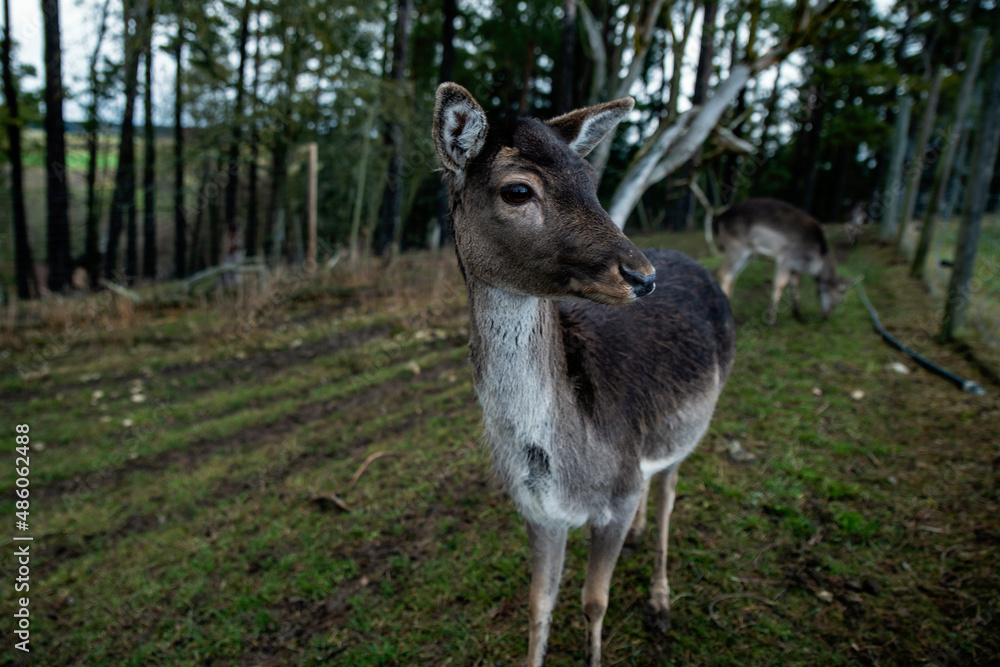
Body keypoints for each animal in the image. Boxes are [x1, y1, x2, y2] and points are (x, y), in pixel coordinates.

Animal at [433, 82, 736, 666]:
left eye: (591, 180)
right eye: (517, 190)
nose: (642, 276)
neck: (562, 461)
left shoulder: (614, 497)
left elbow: (594, 600)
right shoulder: (536, 512)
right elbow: (539, 605)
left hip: (693, 426)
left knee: (668, 493)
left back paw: (660, 601)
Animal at [713, 198, 849, 325]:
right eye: (840, 298)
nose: (827, 316)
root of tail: (719, 218)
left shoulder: (795, 268)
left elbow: (794, 286)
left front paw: (798, 316)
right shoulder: (786, 258)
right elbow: (780, 283)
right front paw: (771, 319)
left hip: (749, 255)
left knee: (733, 276)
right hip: (737, 248)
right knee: (725, 273)